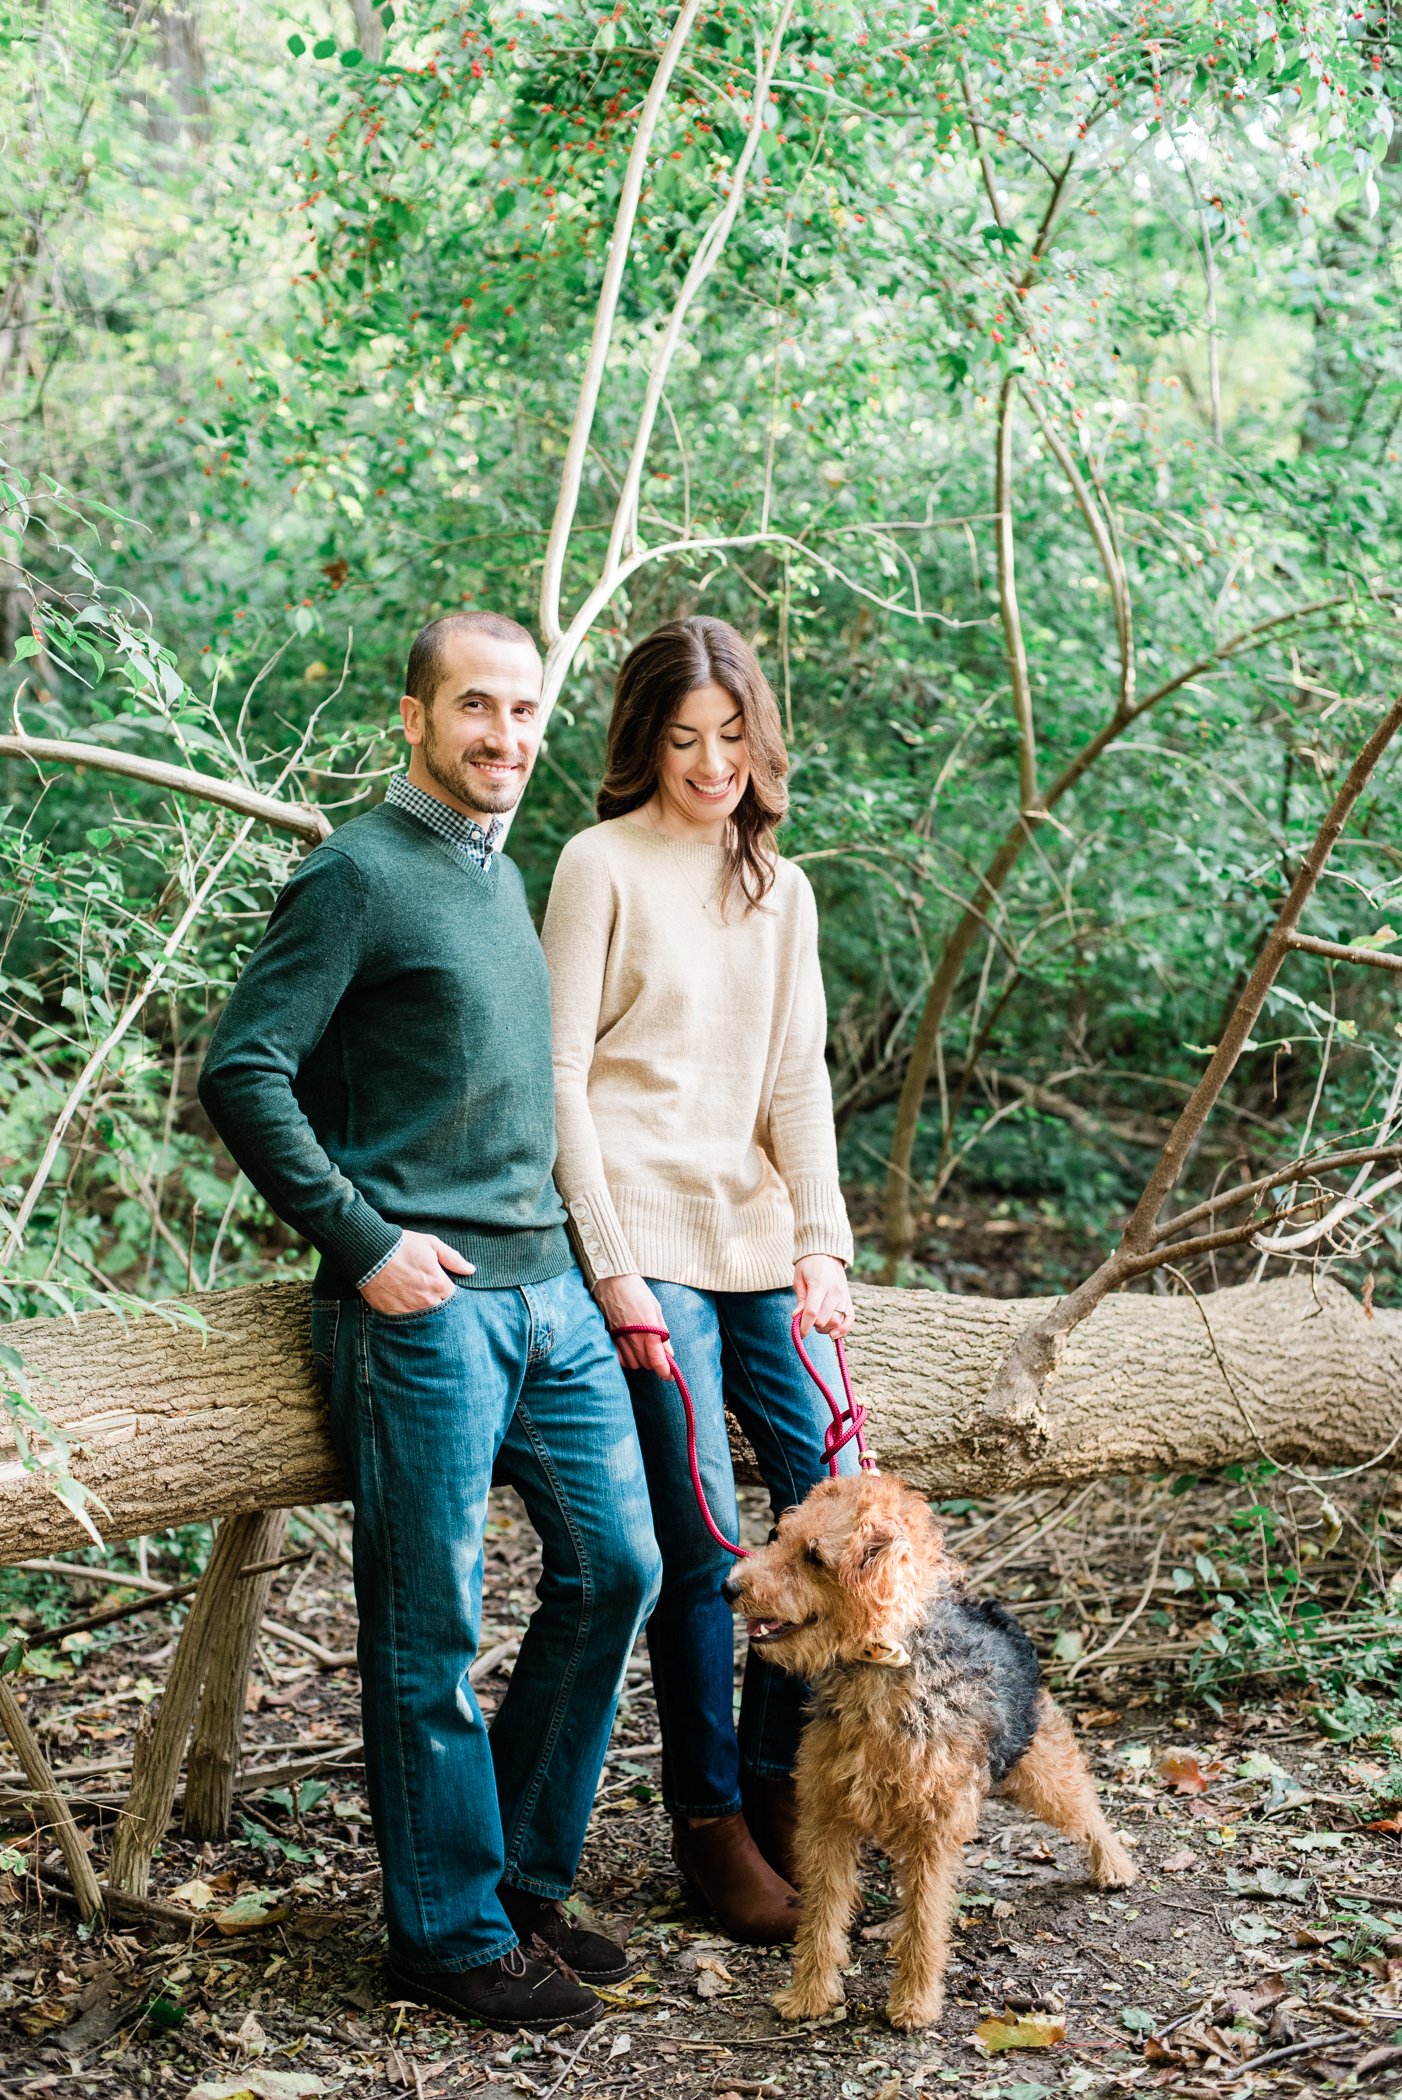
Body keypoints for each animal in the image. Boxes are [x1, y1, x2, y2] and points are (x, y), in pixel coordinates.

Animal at [730, 1469, 1133, 2024]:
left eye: (813, 1555)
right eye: (778, 1537)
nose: (729, 1587)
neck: (883, 1669)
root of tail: (986, 1611)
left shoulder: (933, 1830)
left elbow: (924, 1920)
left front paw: (914, 2003)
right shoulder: (828, 1816)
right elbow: (822, 1913)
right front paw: (809, 1993)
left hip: (1039, 1764)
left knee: (1086, 1806)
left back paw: (1114, 1866)